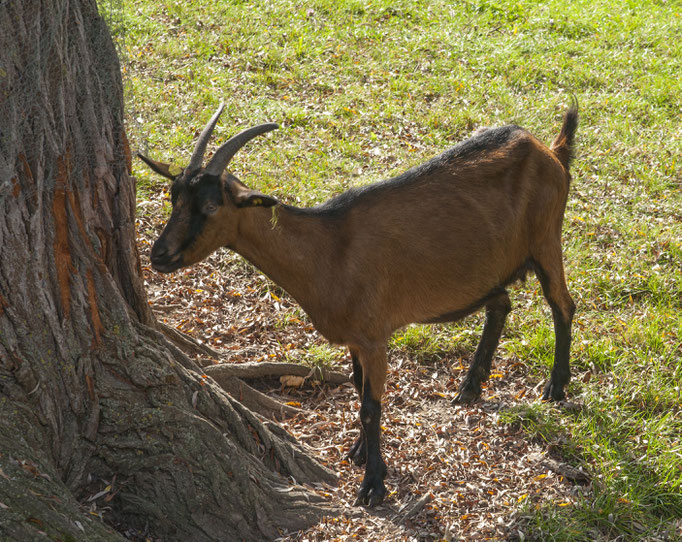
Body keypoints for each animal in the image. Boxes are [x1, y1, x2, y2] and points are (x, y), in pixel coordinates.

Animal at [141, 103, 576, 510]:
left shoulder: (374, 336)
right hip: (485, 272)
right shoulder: (353, 338)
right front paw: (360, 452)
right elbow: (355, 385)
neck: (327, 251)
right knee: (501, 304)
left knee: (563, 305)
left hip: (546, 239)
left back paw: (555, 387)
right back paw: (470, 387)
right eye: (174, 197)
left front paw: (373, 485)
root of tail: (549, 150)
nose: (159, 255)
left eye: (212, 206)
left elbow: (371, 405)